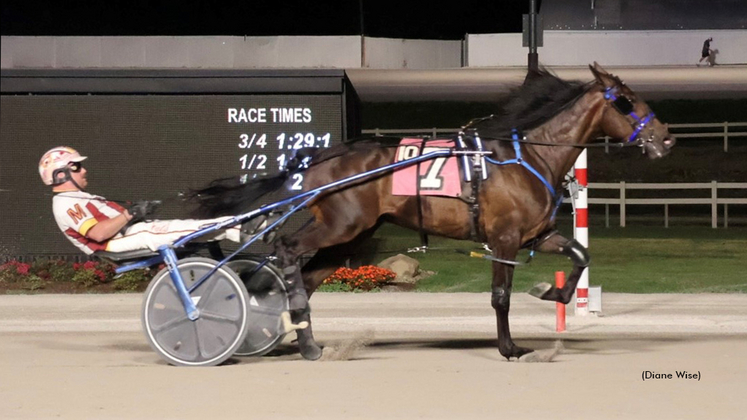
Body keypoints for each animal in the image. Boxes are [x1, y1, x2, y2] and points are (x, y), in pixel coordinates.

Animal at [188, 63, 676, 360]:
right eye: (627, 101)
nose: (666, 138)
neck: (527, 157)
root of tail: (325, 156)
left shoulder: (534, 233)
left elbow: (579, 255)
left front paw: (550, 292)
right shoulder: (504, 238)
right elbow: (500, 296)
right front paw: (510, 347)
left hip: (353, 235)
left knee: (306, 276)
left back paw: (300, 337)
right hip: (343, 224)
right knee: (286, 250)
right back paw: (296, 336)